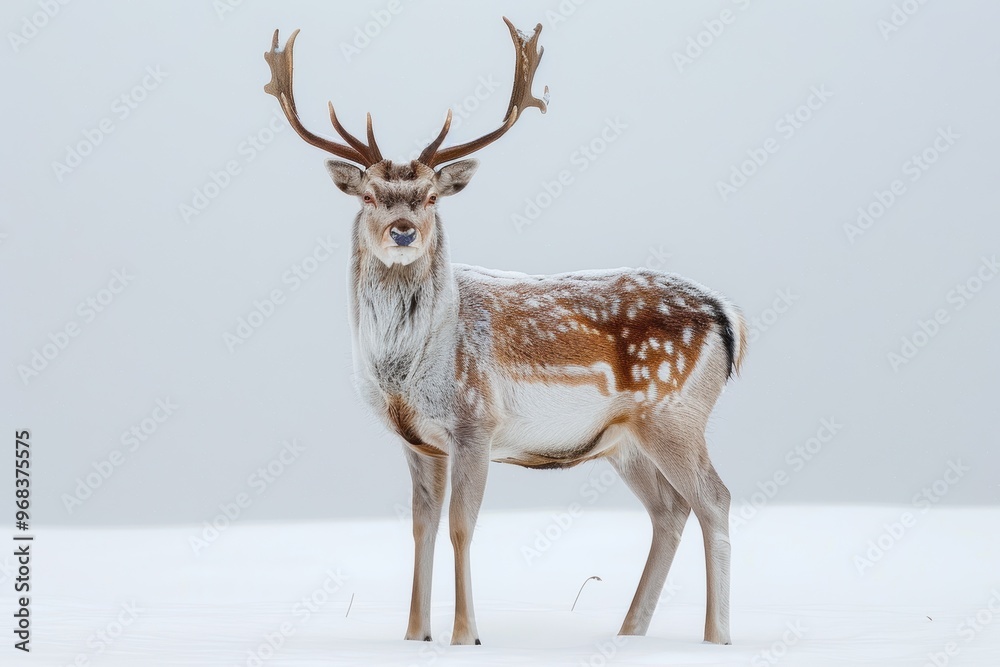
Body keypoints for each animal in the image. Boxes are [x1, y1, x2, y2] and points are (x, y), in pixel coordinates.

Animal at [264, 18, 746, 647]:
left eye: (430, 197)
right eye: (370, 195)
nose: (402, 230)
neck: (405, 370)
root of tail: (728, 316)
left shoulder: (476, 420)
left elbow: (461, 527)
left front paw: (465, 635)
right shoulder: (417, 440)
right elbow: (420, 528)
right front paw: (414, 635)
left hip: (675, 413)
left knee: (715, 498)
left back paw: (716, 638)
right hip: (624, 439)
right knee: (669, 509)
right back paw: (628, 633)